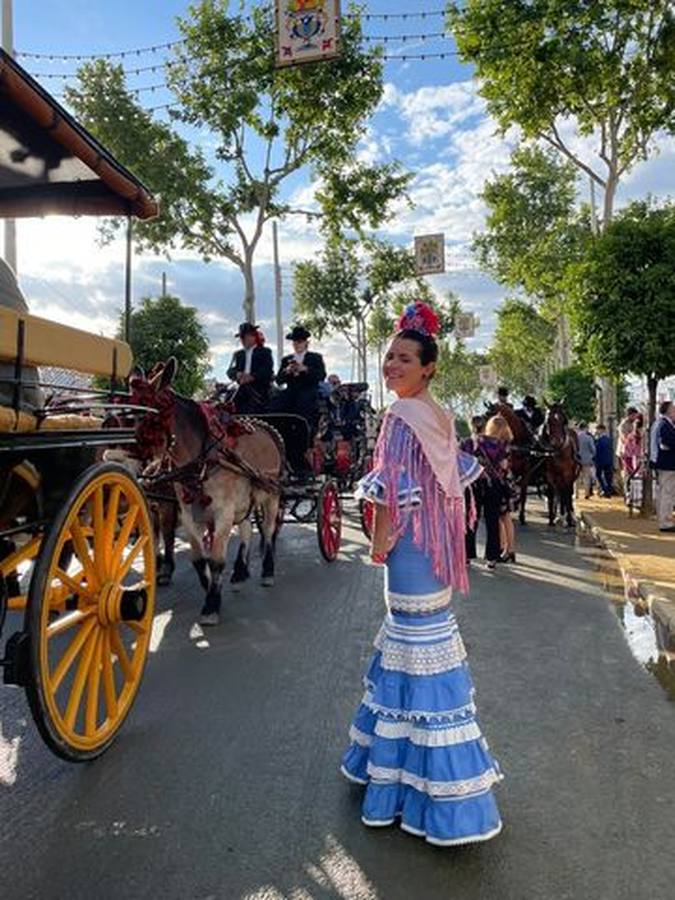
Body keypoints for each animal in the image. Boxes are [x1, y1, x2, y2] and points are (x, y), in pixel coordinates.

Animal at [131, 358, 284, 624]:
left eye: (147, 412)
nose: (123, 454)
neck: (204, 456)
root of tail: (269, 429)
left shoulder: (222, 513)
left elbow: (216, 560)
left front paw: (211, 604)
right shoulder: (188, 512)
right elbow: (199, 558)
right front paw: (210, 588)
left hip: (271, 496)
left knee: (267, 531)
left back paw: (267, 570)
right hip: (244, 501)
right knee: (247, 529)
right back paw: (240, 573)